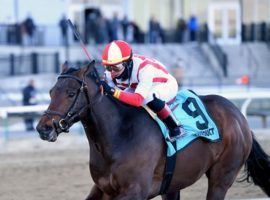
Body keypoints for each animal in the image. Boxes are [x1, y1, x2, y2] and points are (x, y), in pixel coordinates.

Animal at [36, 61, 270, 200]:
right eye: (51, 91)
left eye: (71, 93)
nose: (43, 128)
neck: (118, 135)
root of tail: (239, 117)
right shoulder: (103, 189)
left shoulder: (135, 191)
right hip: (174, 184)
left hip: (222, 177)